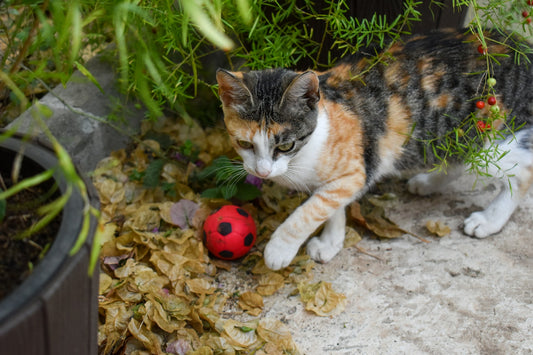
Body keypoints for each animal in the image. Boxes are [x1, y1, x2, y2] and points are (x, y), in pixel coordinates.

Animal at [215, 29, 532, 270]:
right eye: (244, 143)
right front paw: (331, 242)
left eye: (285, 144)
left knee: (522, 171)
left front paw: (279, 250)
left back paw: (489, 220)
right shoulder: (342, 178)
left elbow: (309, 211)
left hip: (490, 138)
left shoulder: (358, 168)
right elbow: (331, 204)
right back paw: (428, 183)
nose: (262, 171)